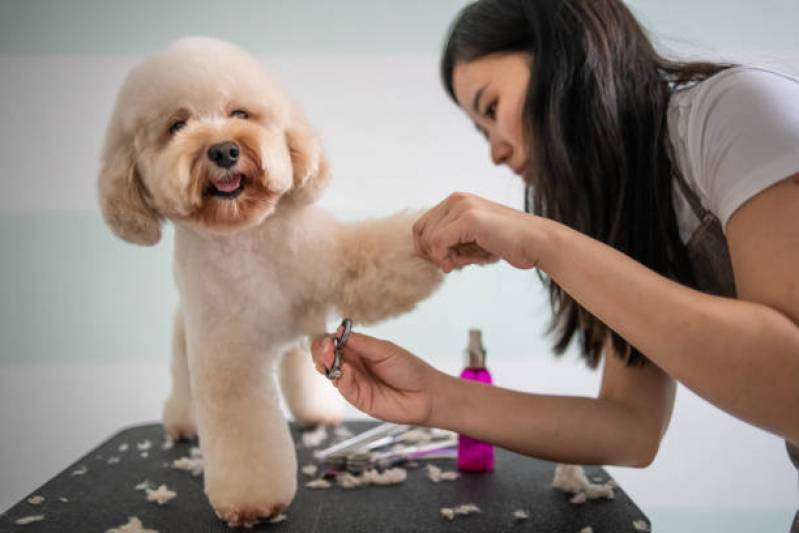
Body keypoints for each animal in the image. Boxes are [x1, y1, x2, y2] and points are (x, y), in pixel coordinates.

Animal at [98, 36, 444, 524]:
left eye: (241, 113)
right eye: (176, 125)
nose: (224, 150)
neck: (246, 238)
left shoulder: (334, 261)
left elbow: (377, 256)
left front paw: (446, 236)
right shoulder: (228, 356)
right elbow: (243, 427)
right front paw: (253, 501)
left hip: (301, 333)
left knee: (299, 367)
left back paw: (317, 412)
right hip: (186, 340)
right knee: (184, 387)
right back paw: (181, 421)